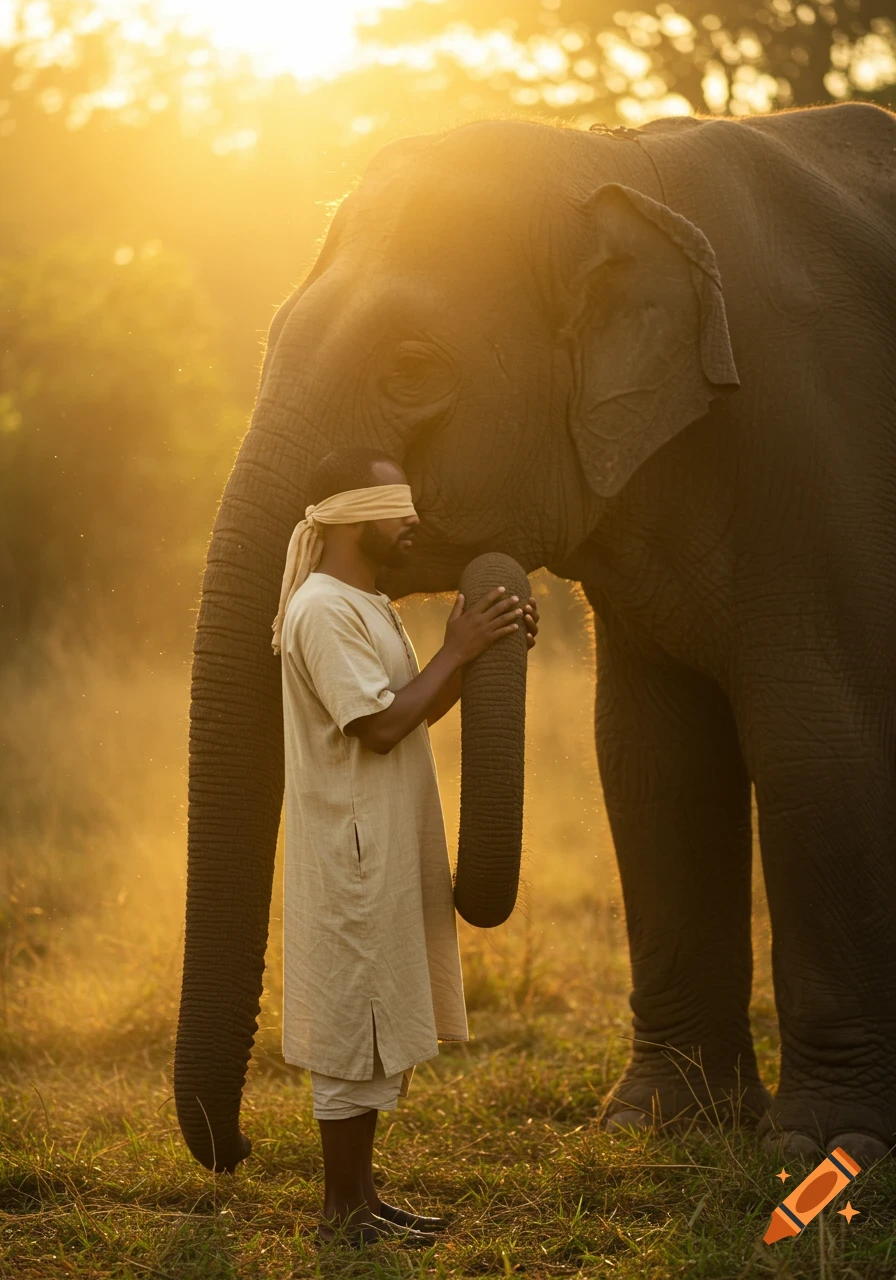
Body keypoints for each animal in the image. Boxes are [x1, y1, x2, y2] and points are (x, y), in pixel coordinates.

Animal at [175, 101, 896, 1173]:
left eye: (412, 367)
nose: (241, 1149)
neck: (613, 165)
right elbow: (650, 762)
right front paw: (658, 1124)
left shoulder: (823, 454)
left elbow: (819, 751)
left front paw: (825, 1149)